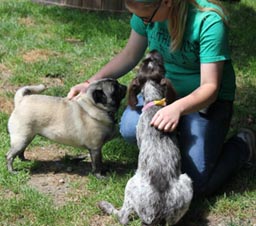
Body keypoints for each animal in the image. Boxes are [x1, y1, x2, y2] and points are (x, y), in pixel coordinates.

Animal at [99, 50, 193, 225]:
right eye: (149, 60)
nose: (154, 50)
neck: (154, 101)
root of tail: (158, 210)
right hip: (186, 183)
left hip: (130, 185)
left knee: (122, 217)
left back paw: (106, 206)